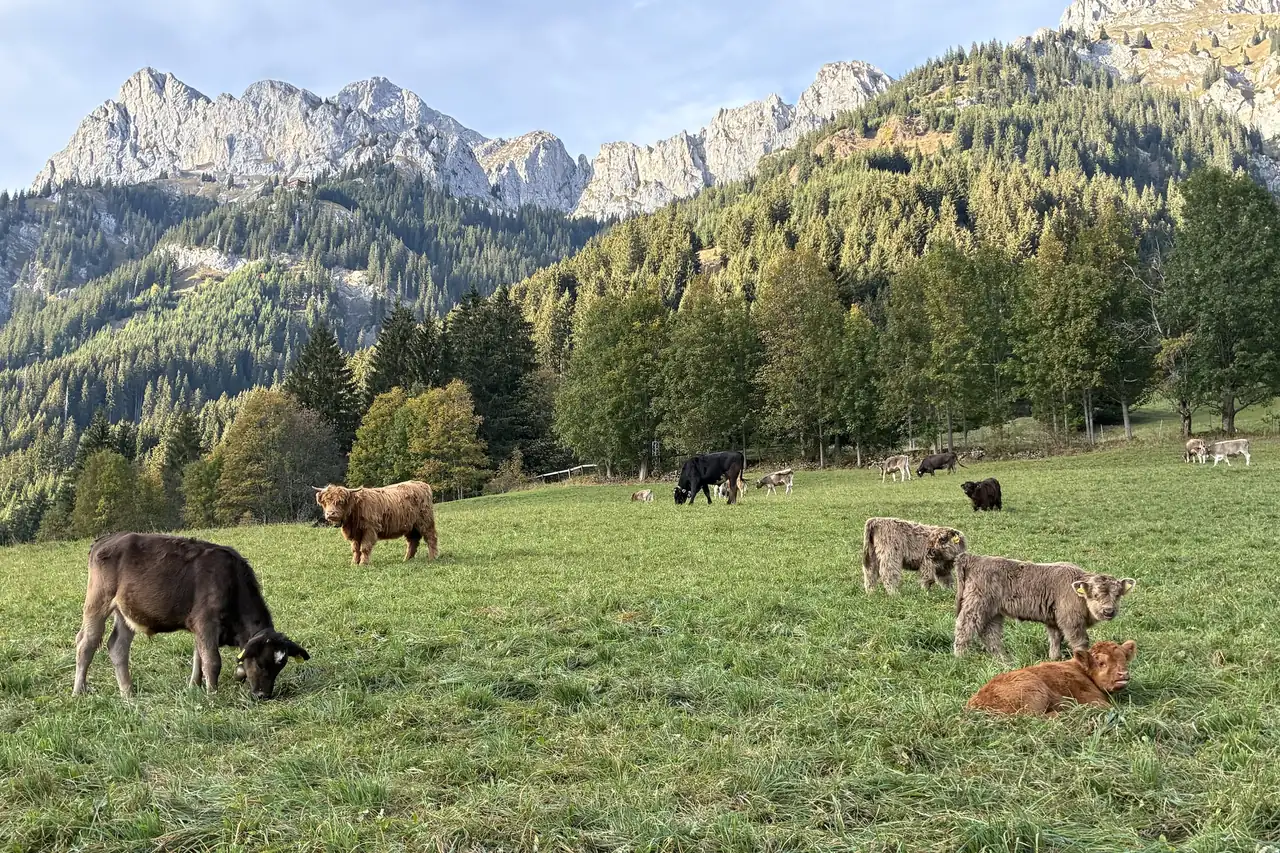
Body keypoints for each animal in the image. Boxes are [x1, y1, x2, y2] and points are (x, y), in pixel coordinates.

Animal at [72, 533, 310, 700]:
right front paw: (212, 694)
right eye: (261, 663)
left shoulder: (200, 627)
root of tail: (106, 539)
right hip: (97, 602)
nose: (263, 695)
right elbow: (212, 661)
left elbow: (199, 657)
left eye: (280, 666)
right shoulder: (206, 622)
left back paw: (128, 693)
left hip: (126, 613)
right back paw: (79, 691)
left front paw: (195, 686)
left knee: (118, 647)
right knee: (86, 644)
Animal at [953, 554, 1136, 663]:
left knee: (990, 634)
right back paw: (960, 657)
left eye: (1117, 595)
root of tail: (974, 558)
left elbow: (1055, 639)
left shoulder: (1054, 621)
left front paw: (1055, 658)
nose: (1108, 611)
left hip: (994, 612)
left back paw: (1004, 659)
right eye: (1095, 595)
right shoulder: (1072, 622)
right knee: (964, 627)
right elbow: (1080, 642)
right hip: (976, 606)